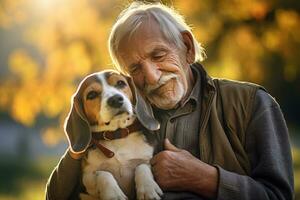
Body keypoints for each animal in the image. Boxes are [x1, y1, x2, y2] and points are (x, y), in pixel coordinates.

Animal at [64, 70, 163, 200]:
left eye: (120, 83)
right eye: (91, 95)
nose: (115, 99)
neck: (117, 135)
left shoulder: (149, 160)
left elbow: (142, 167)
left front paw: (148, 189)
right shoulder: (86, 177)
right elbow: (103, 173)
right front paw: (114, 194)